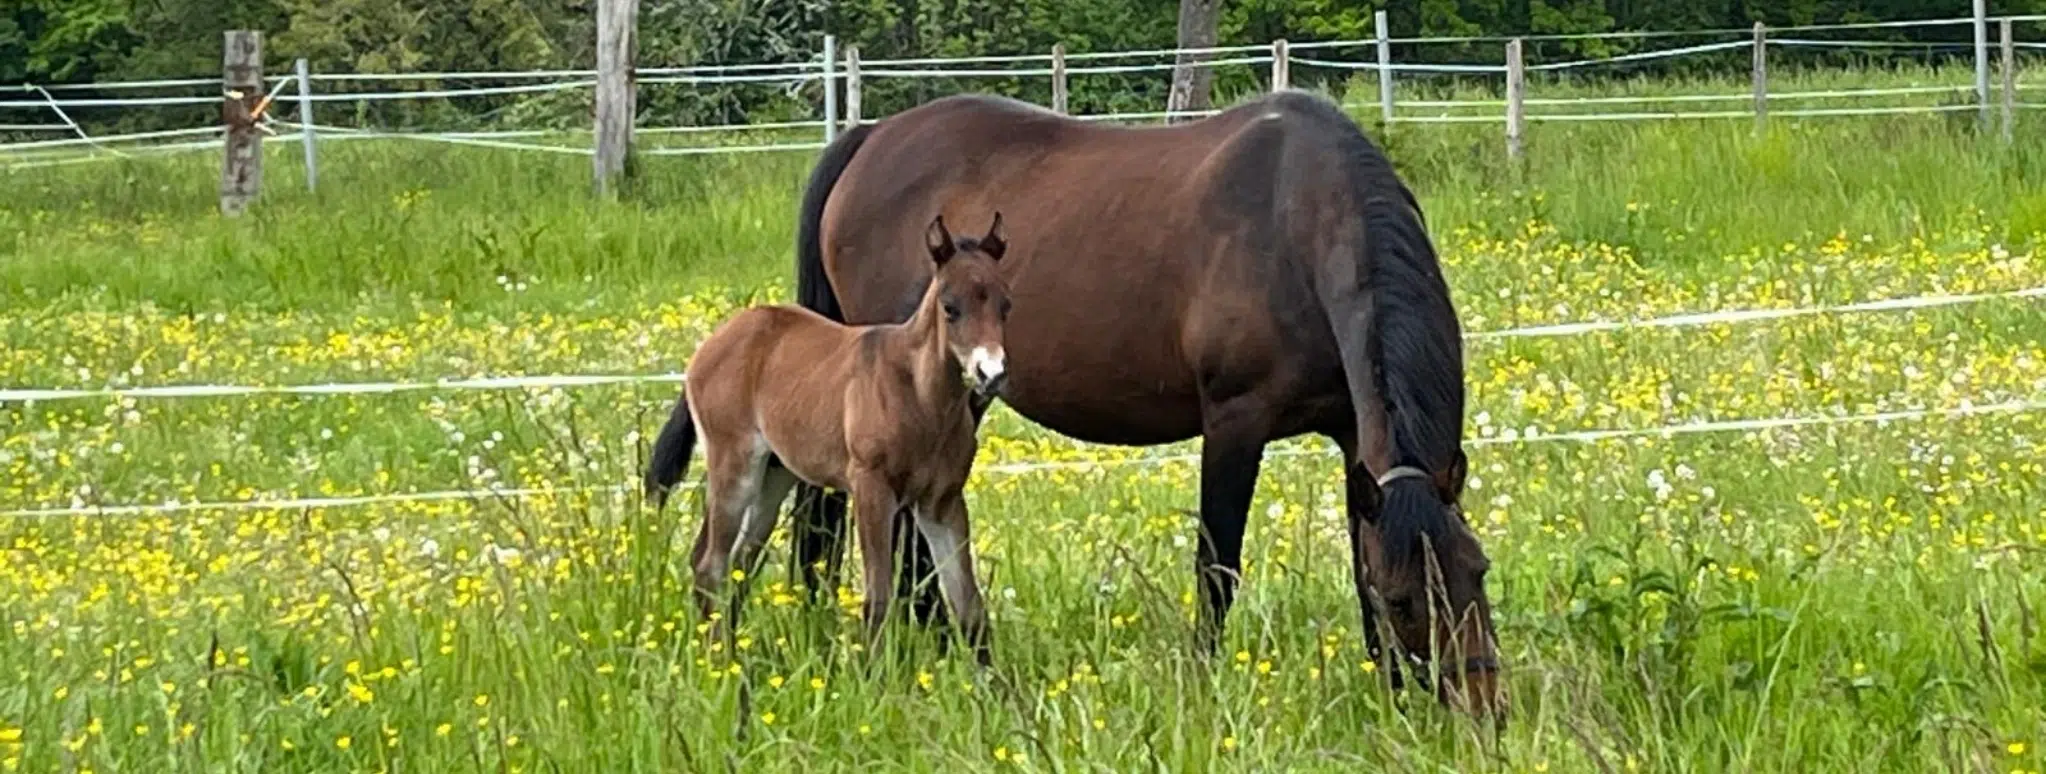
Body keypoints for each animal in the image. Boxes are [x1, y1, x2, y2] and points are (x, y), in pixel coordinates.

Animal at [643, 213, 1013, 664]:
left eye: (1005, 305)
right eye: (950, 308)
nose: (991, 374)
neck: (919, 394)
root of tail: (712, 343)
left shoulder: (942, 501)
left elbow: (970, 608)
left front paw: (995, 684)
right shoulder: (871, 488)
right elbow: (878, 599)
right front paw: (873, 679)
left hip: (774, 475)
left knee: (738, 561)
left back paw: (732, 658)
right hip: (735, 465)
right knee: (710, 564)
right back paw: (719, 662)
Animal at [773, 89, 1503, 715]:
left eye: (1479, 571)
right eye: (1407, 600)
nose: (1483, 706)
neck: (1296, 222)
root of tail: (869, 138)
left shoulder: (1355, 434)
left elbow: (1358, 564)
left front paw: (1391, 697)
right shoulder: (1235, 423)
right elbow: (1217, 568)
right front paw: (1204, 686)